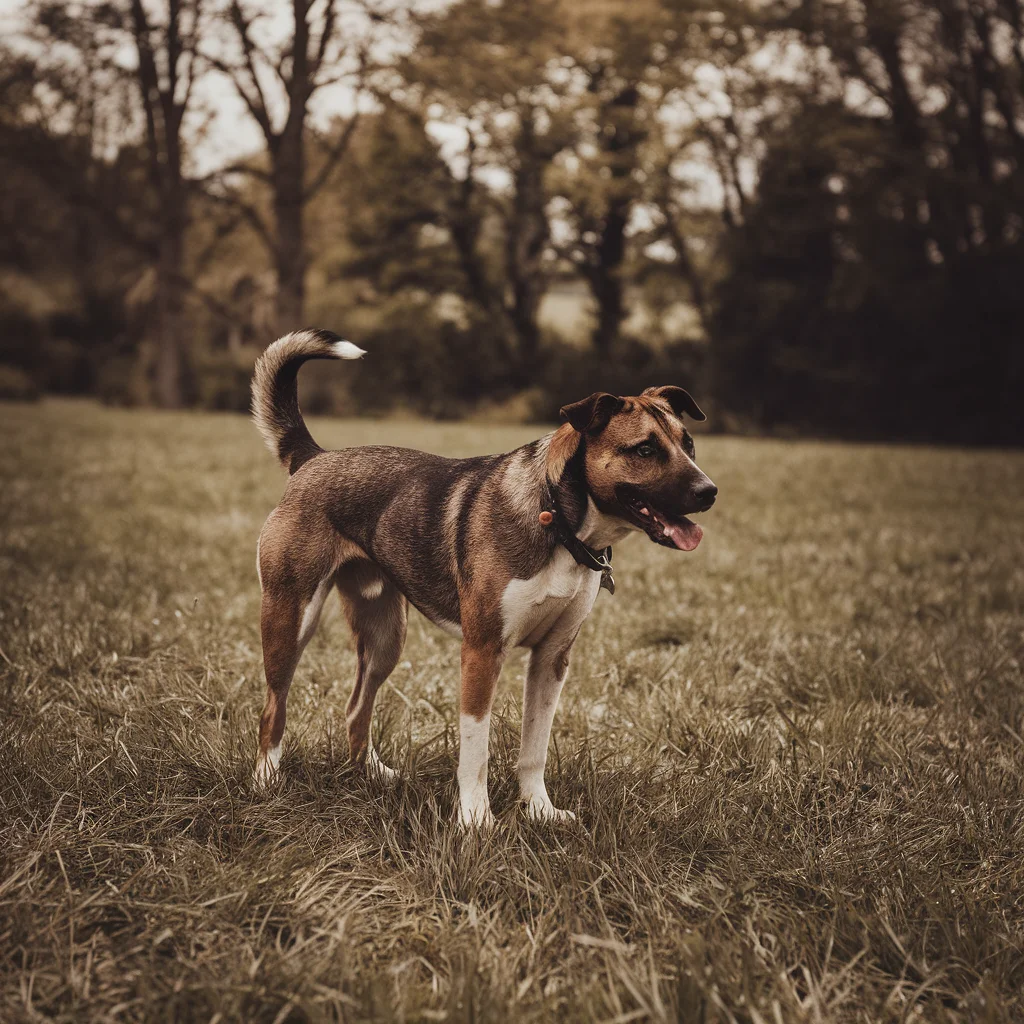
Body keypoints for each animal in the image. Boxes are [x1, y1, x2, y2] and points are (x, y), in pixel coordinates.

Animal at [248, 331, 716, 827]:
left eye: (688, 444)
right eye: (644, 449)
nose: (709, 491)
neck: (558, 521)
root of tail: (312, 458)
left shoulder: (553, 658)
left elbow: (534, 749)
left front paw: (540, 810)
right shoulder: (482, 651)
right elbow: (477, 750)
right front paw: (476, 821)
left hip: (385, 635)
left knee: (357, 707)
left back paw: (372, 774)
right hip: (290, 616)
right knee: (273, 707)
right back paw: (266, 782)